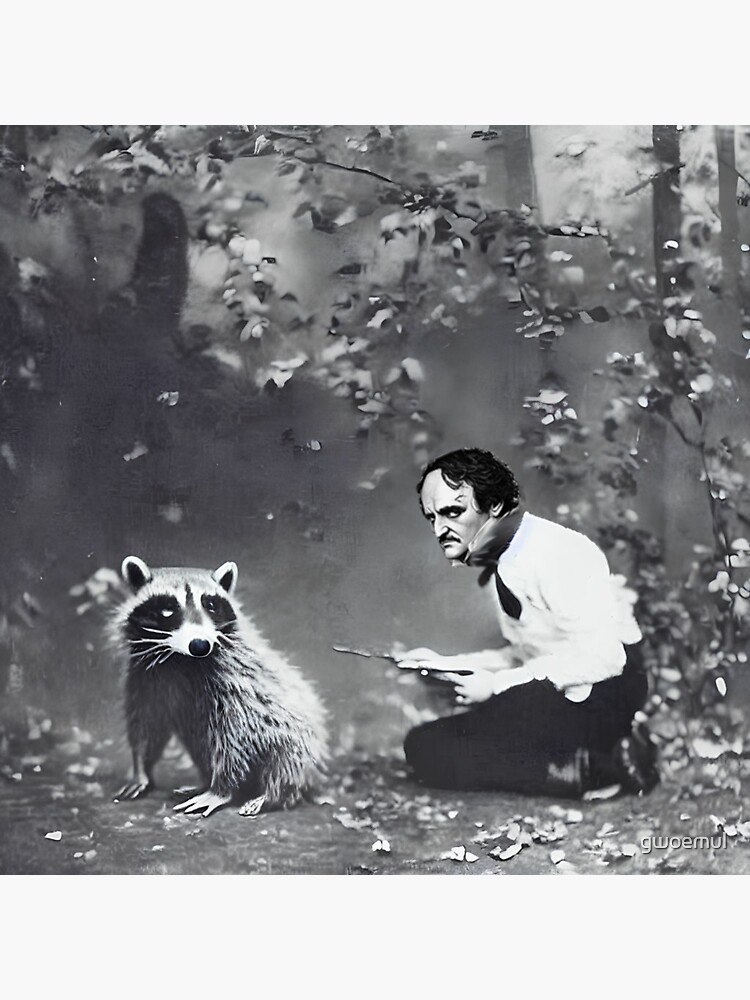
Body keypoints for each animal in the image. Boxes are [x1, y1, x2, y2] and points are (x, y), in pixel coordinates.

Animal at [111, 556, 328, 817]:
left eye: (211, 606)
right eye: (168, 609)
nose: (200, 645)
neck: (180, 658)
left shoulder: (237, 681)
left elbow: (237, 735)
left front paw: (223, 789)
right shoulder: (144, 674)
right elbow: (146, 721)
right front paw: (140, 768)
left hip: (298, 740)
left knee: (283, 760)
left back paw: (270, 794)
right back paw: (205, 782)